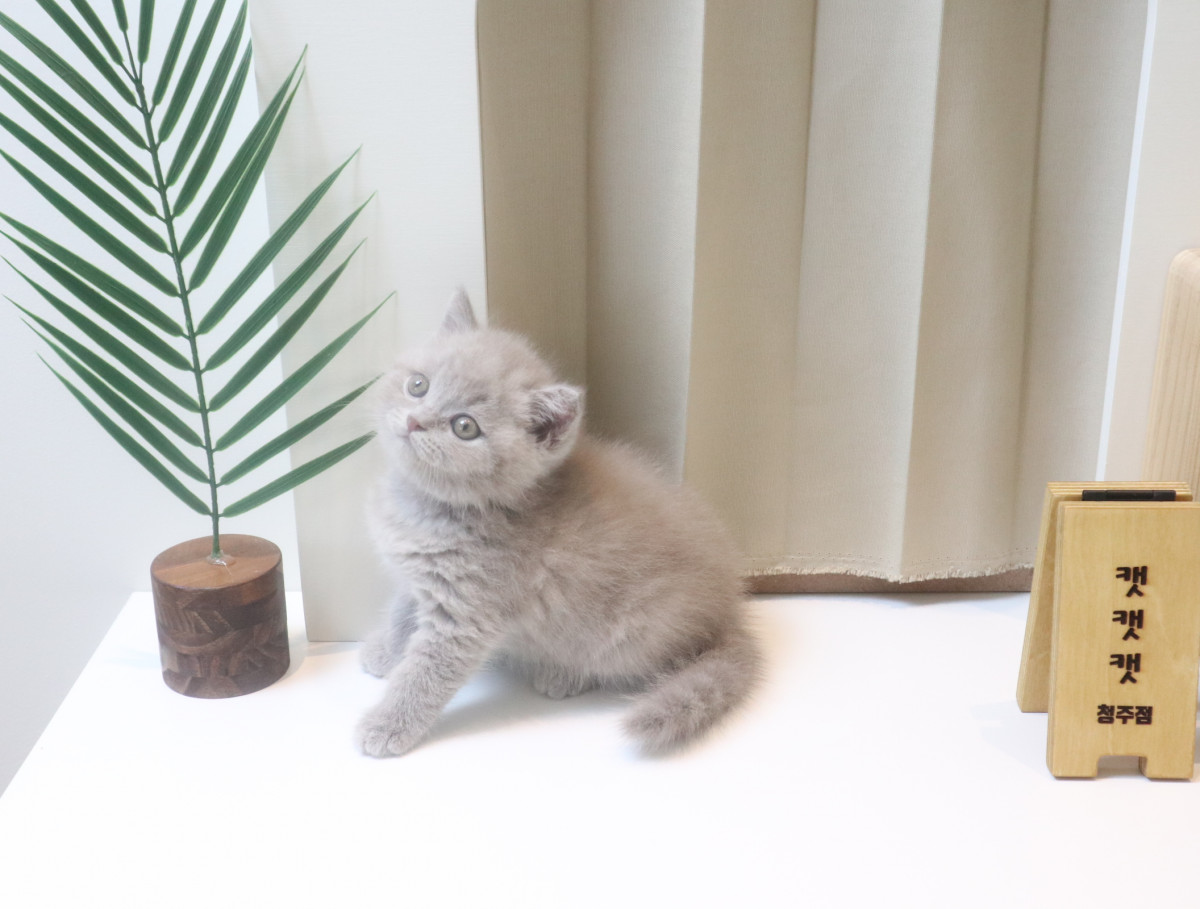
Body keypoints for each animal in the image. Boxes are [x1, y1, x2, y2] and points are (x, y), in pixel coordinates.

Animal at [356, 289, 762, 757]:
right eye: (418, 385)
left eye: (465, 427)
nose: (414, 420)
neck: (426, 506)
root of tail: (729, 612)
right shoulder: (419, 577)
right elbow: (401, 613)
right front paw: (386, 652)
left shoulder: (466, 613)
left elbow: (426, 673)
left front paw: (387, 725)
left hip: (633, 627)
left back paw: (565, 675)